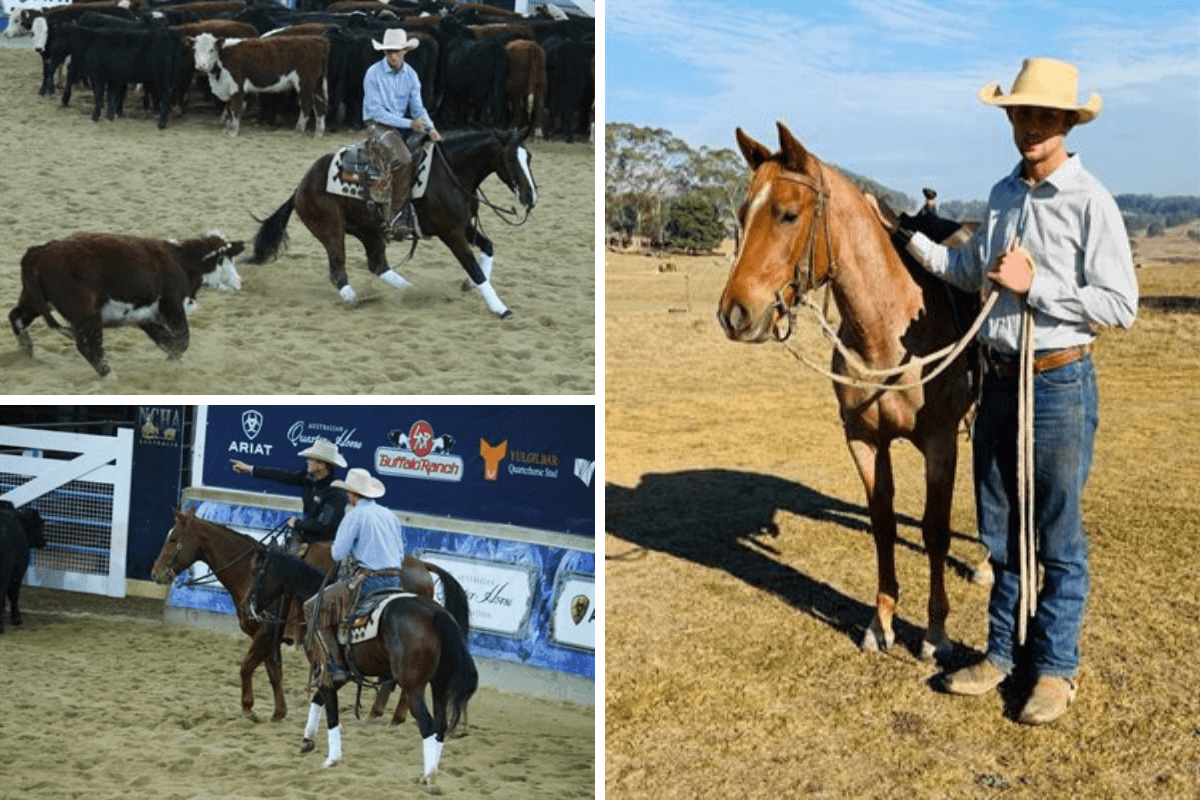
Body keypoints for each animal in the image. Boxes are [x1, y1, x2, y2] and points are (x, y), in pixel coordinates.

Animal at [245, 128, 538, 319]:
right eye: (510, 158)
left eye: (530, 157)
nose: (530, 196)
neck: (450, 175)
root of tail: (300, 186)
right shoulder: (451, 233)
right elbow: (474, 267)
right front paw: (500, 308)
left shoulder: (465, 226)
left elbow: (488, 248)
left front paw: (468, 285)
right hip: (331, 230)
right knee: (338, 270)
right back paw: (356, 300)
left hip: (370, 231)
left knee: (378, 266)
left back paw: (413, 292)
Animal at [254, 551, 477, 783]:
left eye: (258, 572)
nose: (251, 607)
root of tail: (436, 614)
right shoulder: (342, 674)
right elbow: (318, 700)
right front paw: (307, 740)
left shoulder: (327, 670)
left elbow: (331, 711)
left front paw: (332, 759)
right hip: (440, 684)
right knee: (441, 724)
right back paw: (432, 770)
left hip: (413, 685)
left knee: (427, 724)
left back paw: (427, 776)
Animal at [716, 122, 981, 661]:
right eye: (742, 213)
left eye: (788, 213)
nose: (735, 314)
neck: (890, 330)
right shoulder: (863, 440)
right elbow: (882, 525)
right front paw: (881, 624)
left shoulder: (940, 443)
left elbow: (936, 529)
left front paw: (935, 632)